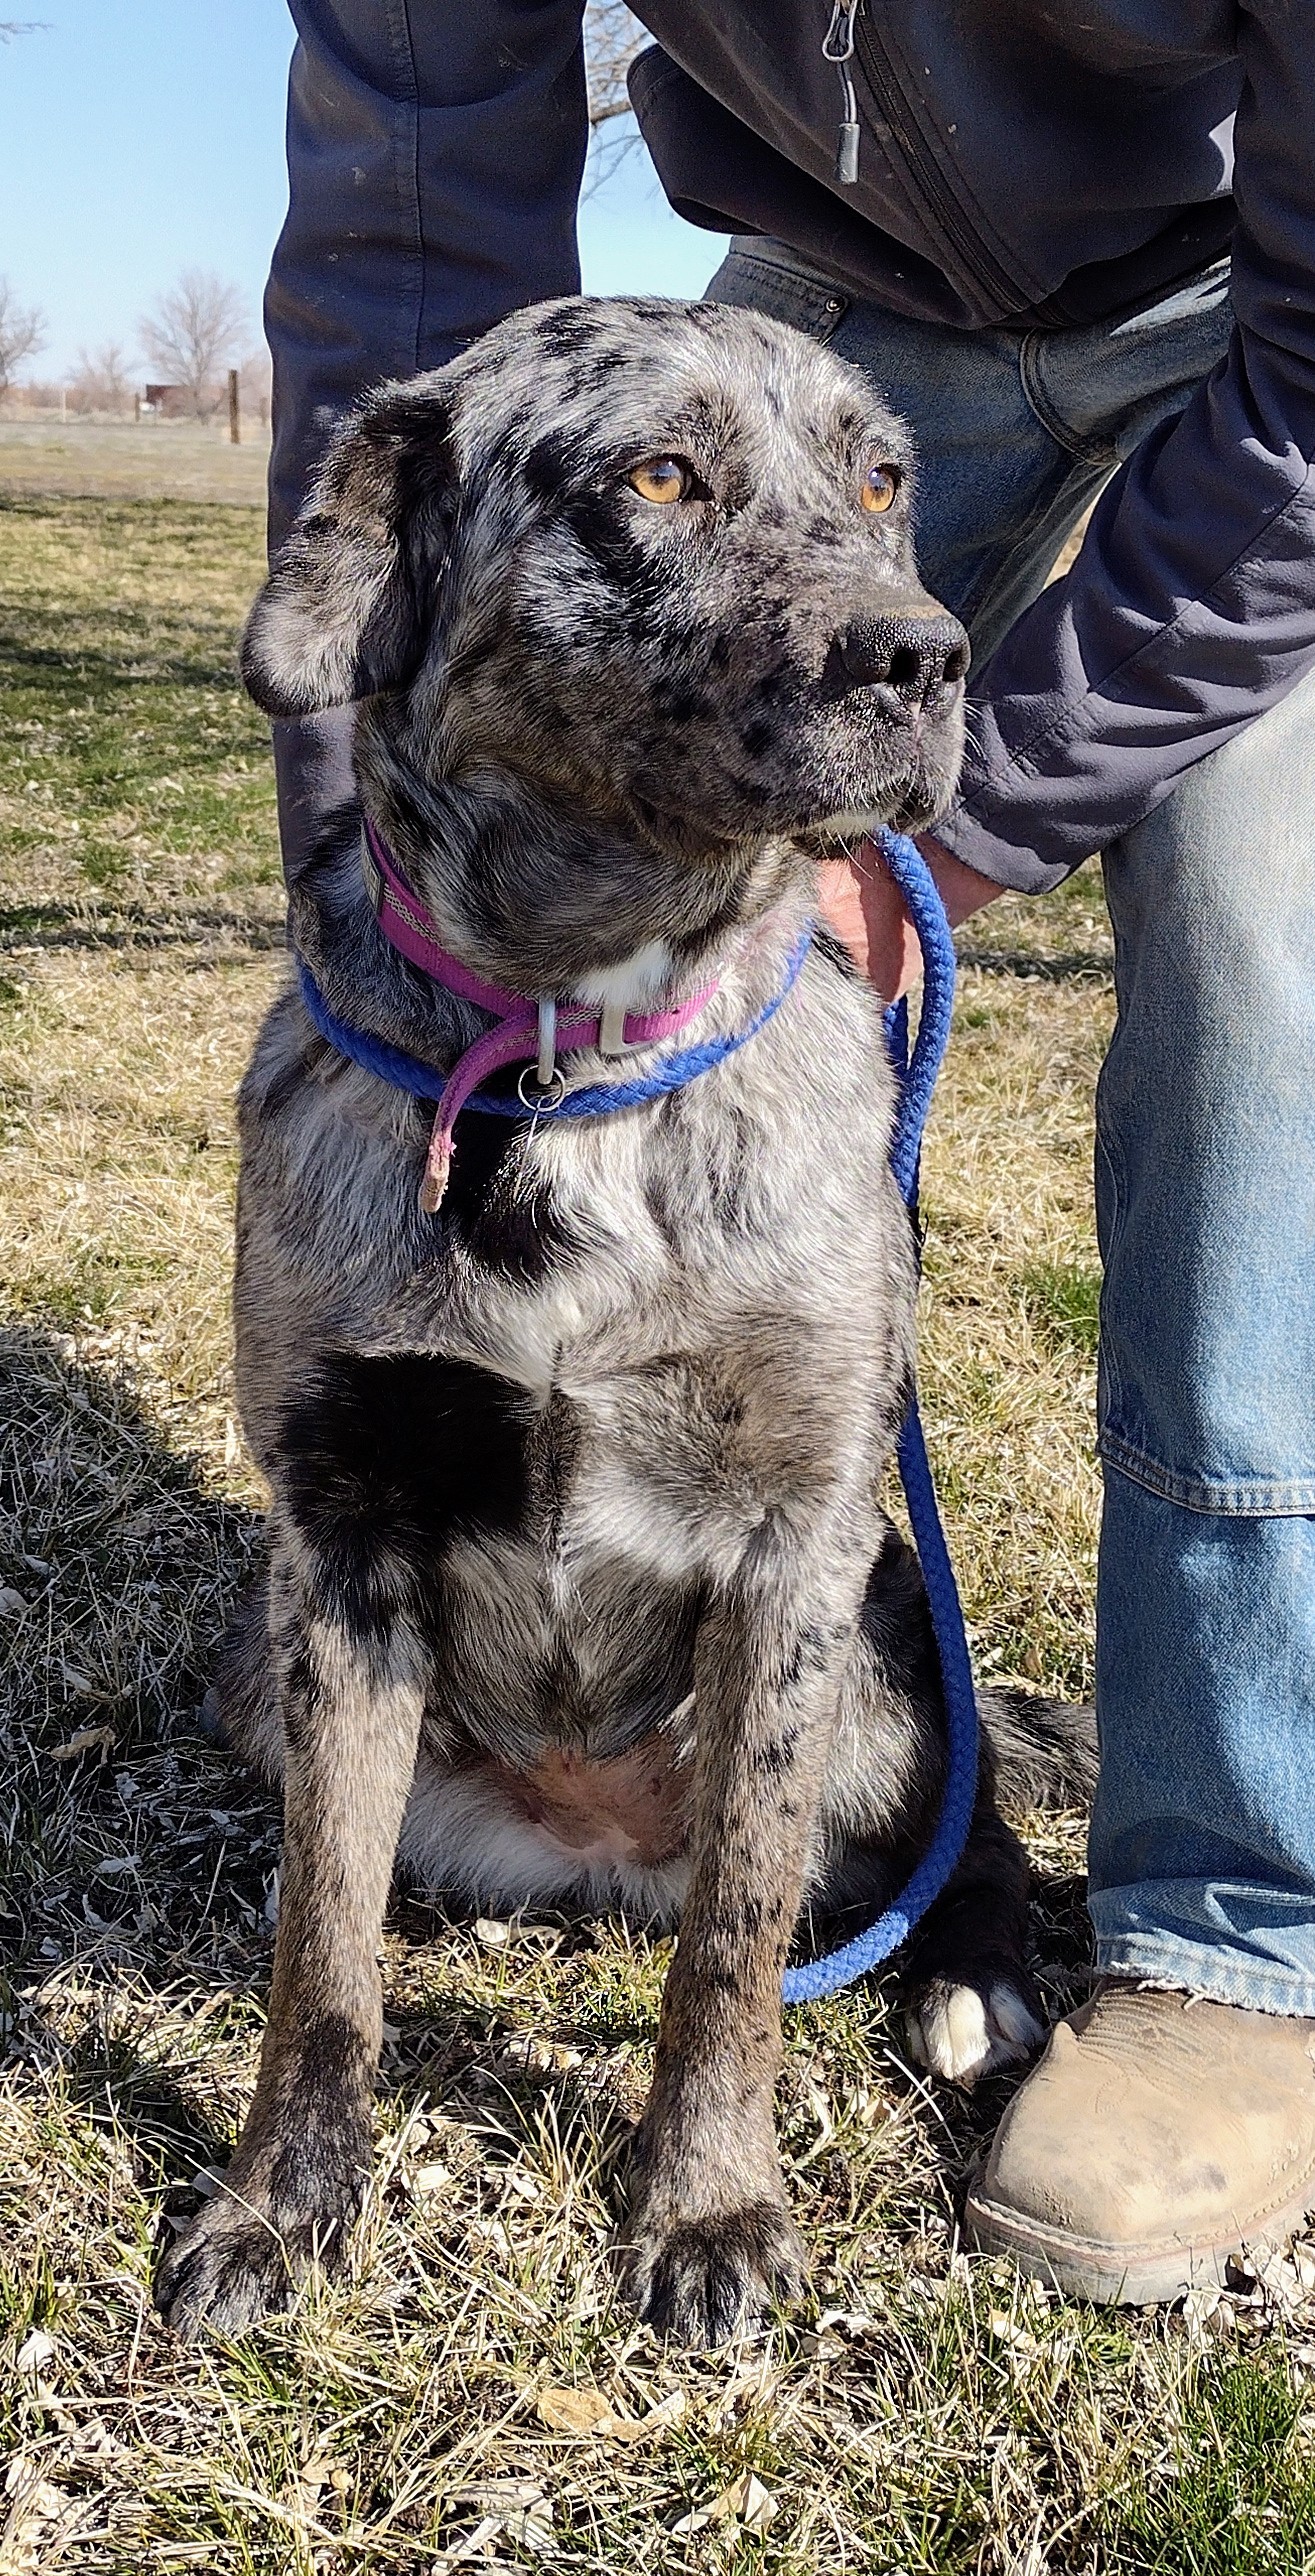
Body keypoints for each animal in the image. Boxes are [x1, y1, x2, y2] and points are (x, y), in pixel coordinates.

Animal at [154, 292, 1093, 2349]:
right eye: (658, 477)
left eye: (880, 481)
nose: (926, 657)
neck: (570, 1053)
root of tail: (593, 1851)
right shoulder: (343, 1541)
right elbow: (319, 1944)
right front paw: (282, 2198)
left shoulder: (795, 1547)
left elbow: (734, 1944)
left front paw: (709, 2207)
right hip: (270, 1664)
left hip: (891, 1640)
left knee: (951, 1823)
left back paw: (971, 1977)